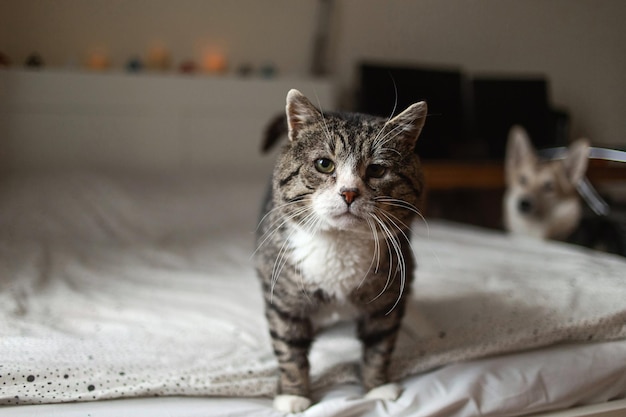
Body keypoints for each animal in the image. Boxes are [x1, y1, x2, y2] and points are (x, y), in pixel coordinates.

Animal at [252, 89, 424, 412]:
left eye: (377, 169)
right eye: (324, 164)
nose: (349, 192)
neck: (340, 242)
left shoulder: (388, 298)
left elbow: (380, 346)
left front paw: (377, 388)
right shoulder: (284, 298)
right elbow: (289, 348)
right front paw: (293, 394)